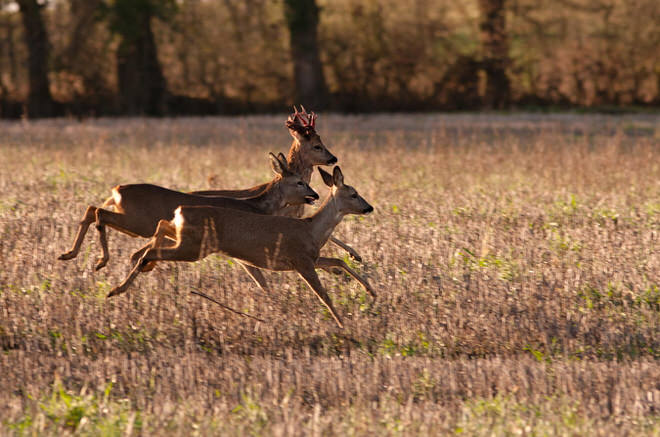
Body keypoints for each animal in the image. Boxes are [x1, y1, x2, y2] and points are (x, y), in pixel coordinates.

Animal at [57, 152, 318, 270]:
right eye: (299, 182)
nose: (315, 195)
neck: (256, 205)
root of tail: (117, 190)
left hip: (134, 223)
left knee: (92, 209)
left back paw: (68, 254)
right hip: (138, 222)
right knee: (99, 213)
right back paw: (101, 260)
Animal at [109, 166, 376, 328]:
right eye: (354, 194)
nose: (369, 207)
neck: (311, 230)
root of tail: (181, 210)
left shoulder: (311, 258)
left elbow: (338, 261)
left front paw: (371, 292)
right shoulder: (300, 261)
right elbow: (323, 295)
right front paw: (342, 323)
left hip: (187, 241)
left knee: (160, 230)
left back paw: (123, 282)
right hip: (193, 248)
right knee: (151, 249)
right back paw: (117, 288)